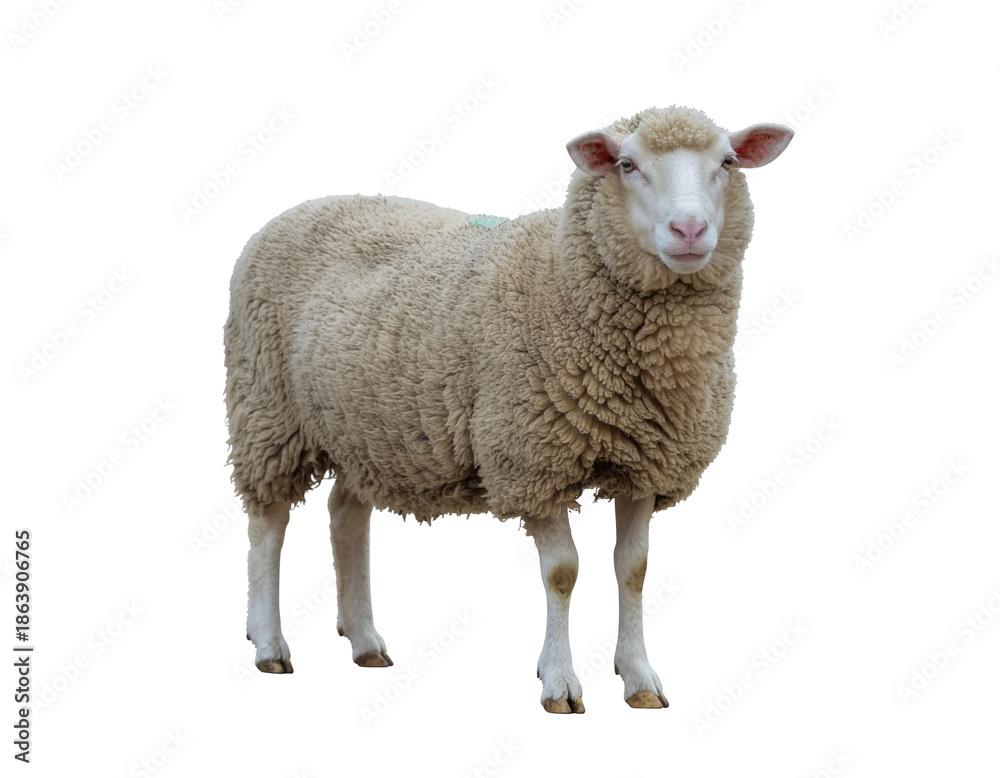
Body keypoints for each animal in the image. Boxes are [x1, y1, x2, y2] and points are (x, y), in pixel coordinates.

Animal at [225, 105, 793, 713]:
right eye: (627, 164)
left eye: (728, 162)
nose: (689, 231)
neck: (562, 279)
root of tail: (299, 209)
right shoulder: (532, 459)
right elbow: (563, 573)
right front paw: (560, 682)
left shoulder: (648, 463)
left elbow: (633, 569)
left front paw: (639, 677)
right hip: (267, 412)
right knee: (268, 526)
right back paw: (269, 643)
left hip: (367, 428)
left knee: (345, 516)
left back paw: (364, 640)